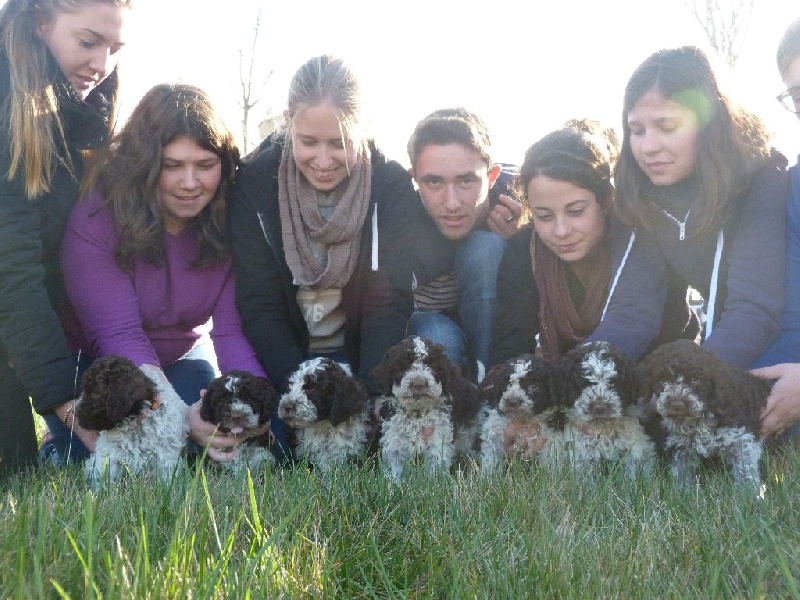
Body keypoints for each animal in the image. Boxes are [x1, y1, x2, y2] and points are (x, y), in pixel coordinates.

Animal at [77, 356, 191, 488]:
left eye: (95, 394)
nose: (75, 411)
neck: (133, 423)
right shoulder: (110, 457)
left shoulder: (165, 458)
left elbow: (164, 481)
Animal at [370, 336, 482, 480]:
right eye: (401, 369)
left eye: (432, 366)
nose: (418, 384)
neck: (417, 413)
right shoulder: (393, 438)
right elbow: (394, 468)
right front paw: (394, 484)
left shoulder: (439, 438)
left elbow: (435, 466)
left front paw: (433, 482)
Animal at [564, 342, 656, 478]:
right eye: (585, 383)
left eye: (613, 383)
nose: (599, 408)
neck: (603, 428)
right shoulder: (583, 452)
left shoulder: (633, 448)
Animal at [636, 338, 768, 492]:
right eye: (663, 380)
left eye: (695, 380)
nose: (677, 404)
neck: (699, 416)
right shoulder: (681, 444)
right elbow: (681, 471)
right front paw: (682, 491)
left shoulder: (740, 436)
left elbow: (745, 466)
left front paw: (750, 493)